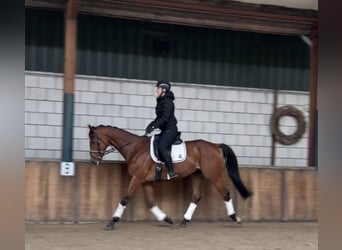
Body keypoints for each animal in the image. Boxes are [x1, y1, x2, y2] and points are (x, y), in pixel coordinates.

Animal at [89, 125, 251, 230]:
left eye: (94, 141)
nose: (93, 160)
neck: (135, 149)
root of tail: (216, 146)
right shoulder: (146, 181)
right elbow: (151, 202)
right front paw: (167, 219)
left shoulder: (137, 178)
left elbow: (124, 199)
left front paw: (112, 222)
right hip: (196, 175)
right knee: (196, 196)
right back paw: (184, 221)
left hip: (214, 176)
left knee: (225, 193)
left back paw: (235, 218)